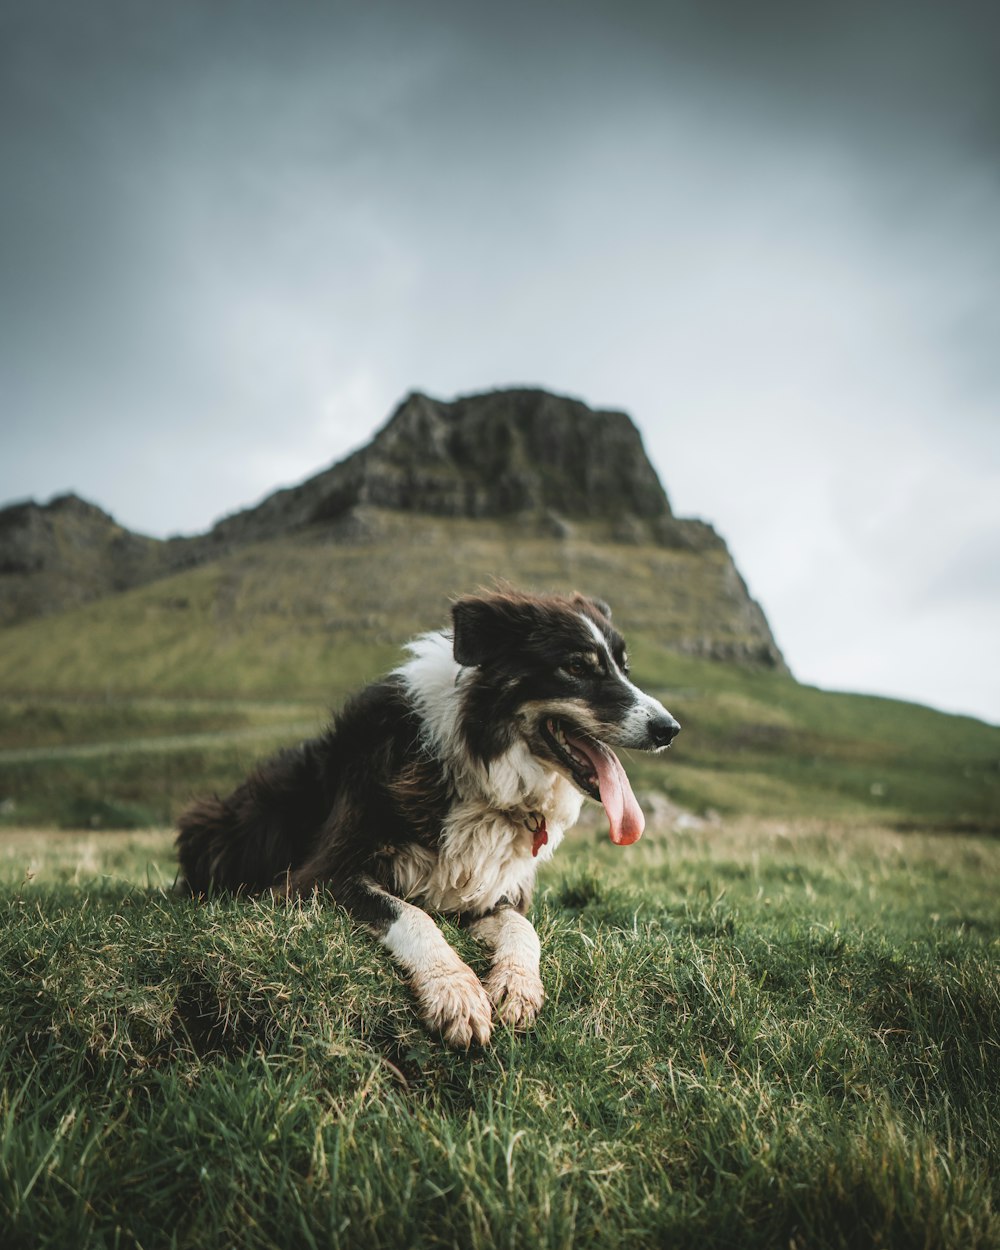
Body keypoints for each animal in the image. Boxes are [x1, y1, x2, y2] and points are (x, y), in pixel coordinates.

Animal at [177, 585, 680, 1045]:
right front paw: (455, 991)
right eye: (576, 667)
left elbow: (523, 928)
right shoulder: (317, 878)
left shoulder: (493, 890)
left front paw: (517, 985)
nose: (669, 729)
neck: (479, 771)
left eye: (624, 668)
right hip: (209, 822)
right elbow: (411, 915)